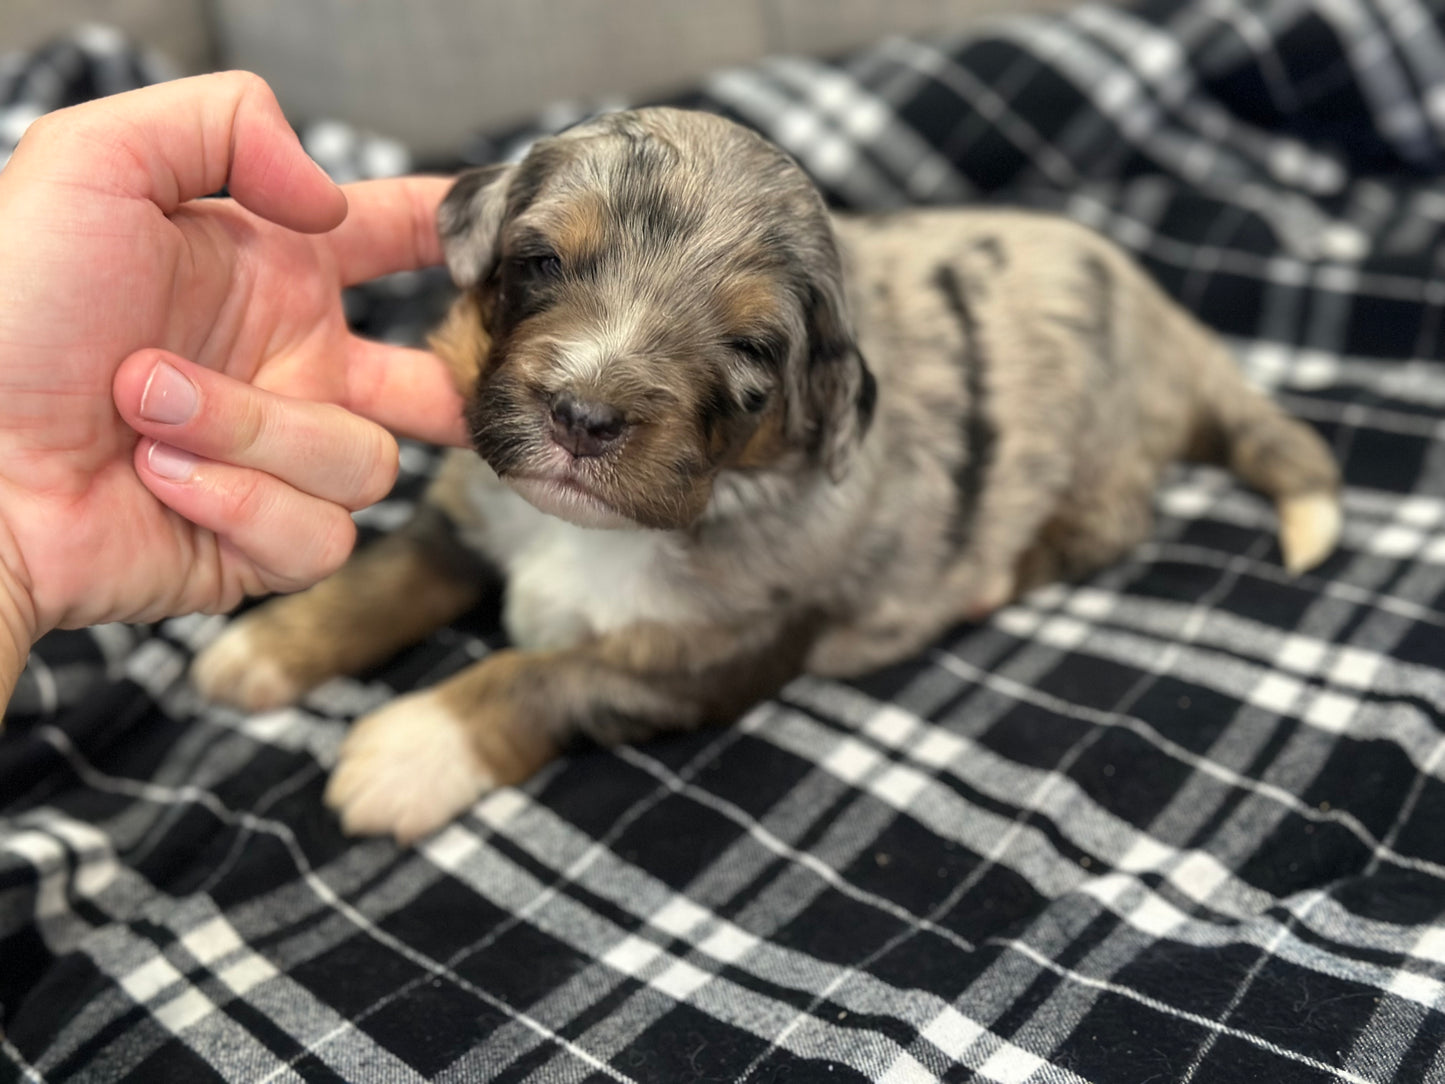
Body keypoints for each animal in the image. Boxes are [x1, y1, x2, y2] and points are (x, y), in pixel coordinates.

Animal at [195, 106, 1340, 844]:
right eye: (540, 263)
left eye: (748, 352)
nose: (582, 418)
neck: (593, 530)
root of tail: (1167, 319)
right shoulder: (475, 508)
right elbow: (386, 576)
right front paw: (262, 649)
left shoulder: (710, 653)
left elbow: (539, 676)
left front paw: (404, 753)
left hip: (1095, 468)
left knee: (1100, 528)